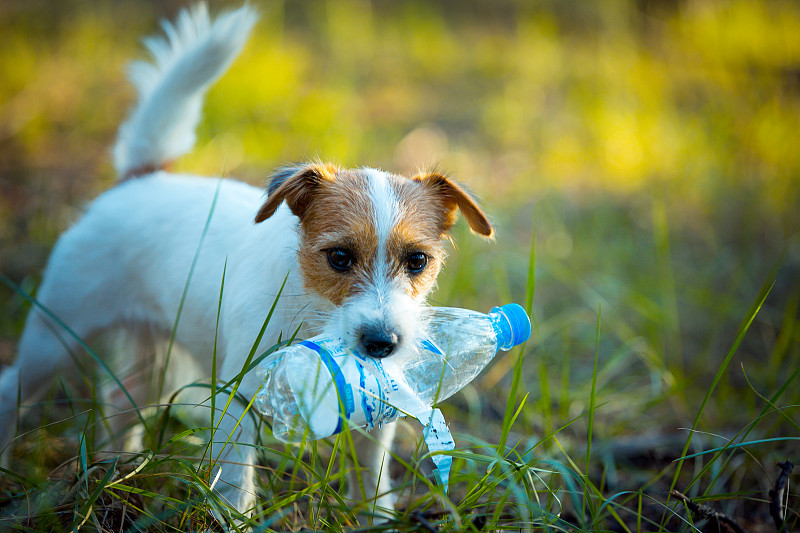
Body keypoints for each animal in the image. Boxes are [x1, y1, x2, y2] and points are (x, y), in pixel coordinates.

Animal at [0, 3, 494, 520]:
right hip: (57, 333)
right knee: (11, 388)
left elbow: (372, 478)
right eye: (339, 257)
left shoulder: (377, 409)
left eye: (417, 261)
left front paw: (374, 520)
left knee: (122, 399)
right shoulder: (239, 397)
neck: (308, 307)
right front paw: (237, 520)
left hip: (148, 354)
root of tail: (141, 178)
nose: (382, 342)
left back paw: (119, 474)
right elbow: (237, 480)